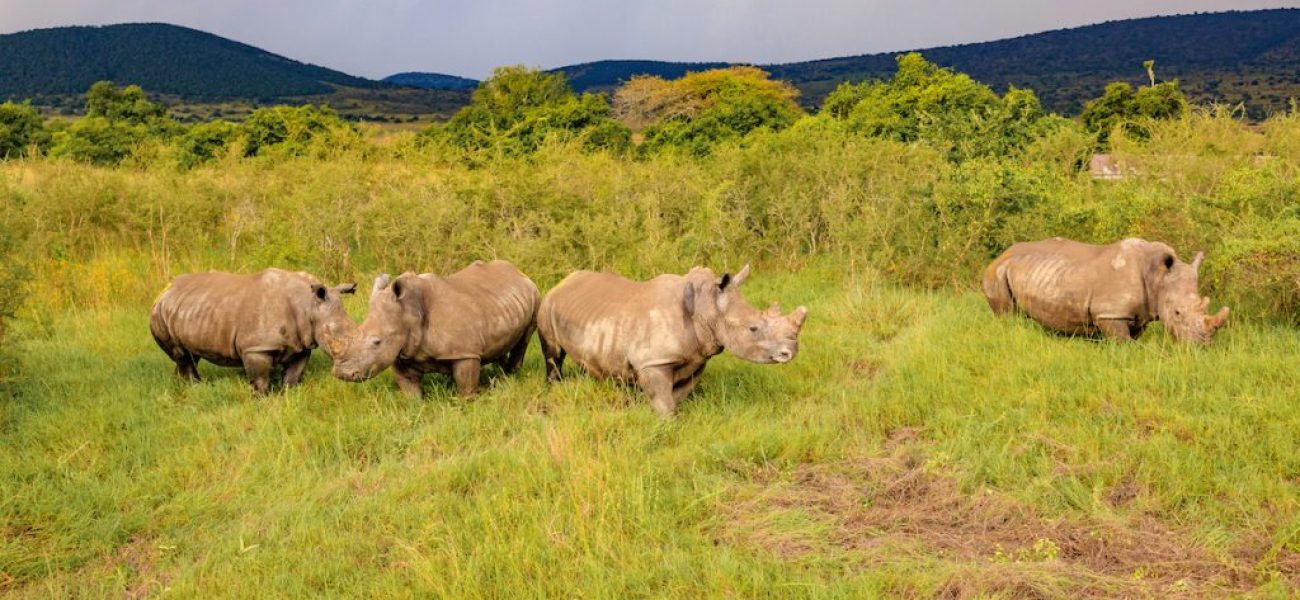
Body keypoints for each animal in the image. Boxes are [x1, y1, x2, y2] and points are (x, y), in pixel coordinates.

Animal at [149, 268, 357, 394]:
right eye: (335, 338)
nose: (352, 375)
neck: (308, 304)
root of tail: (164, 291)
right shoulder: (256, 347)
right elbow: (260, 379)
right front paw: (262, 401)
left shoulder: (301, 343)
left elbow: (294, 374)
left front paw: (288, 395)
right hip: (160, 312)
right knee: (182, 355)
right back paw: (196, 388)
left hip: (189, 308)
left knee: (190, 354)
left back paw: (183, 387)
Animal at [331, 260, 540, 396]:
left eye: (377, 342)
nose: (342, 373)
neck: (409, 311)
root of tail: (518, 272)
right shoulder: (401, 352)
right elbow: (409, 387)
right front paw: (415, 407)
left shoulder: (465, 352)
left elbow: (466, 385)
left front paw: (467, 403)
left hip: (535, 293)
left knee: (524, 339)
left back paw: (511, 375)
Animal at [536, 264, 808, 417]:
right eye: (753, 328)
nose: (790, 352)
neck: (707, 307)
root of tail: (562, 281)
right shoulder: (653, 362)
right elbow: (663, 400)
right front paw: (667, 422)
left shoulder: (697, 358)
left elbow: (678, 394)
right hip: (547, 303)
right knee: (553, 354)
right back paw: (554, 386)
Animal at [982, 237, 1229, 343]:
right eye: (1178, 313)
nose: (1202, 346)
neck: (1157, 275)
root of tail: (1000, 255)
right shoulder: (1111, 312)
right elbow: (1124, 343)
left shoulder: (1138, 313)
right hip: (997, 273)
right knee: (1006, 315)